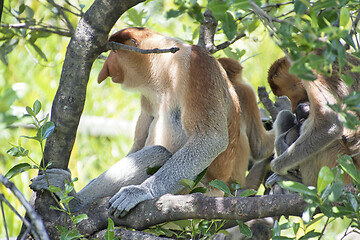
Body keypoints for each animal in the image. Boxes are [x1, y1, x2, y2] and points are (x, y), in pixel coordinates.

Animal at [30, 27, 272, 218]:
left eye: (114, 52)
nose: (103, 72)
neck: (166, 69)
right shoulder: (146, 96)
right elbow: (138, 142)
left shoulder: (198, 65)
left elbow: (209, 138)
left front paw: (139, 192)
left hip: (197, 189)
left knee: (159, 153)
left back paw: (73, 200)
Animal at [266, 54, 360, 186]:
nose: (293, 107)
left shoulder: (313, 78)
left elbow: (330, 124)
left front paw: (277, 166)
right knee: (284, 115)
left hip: (340, 165)